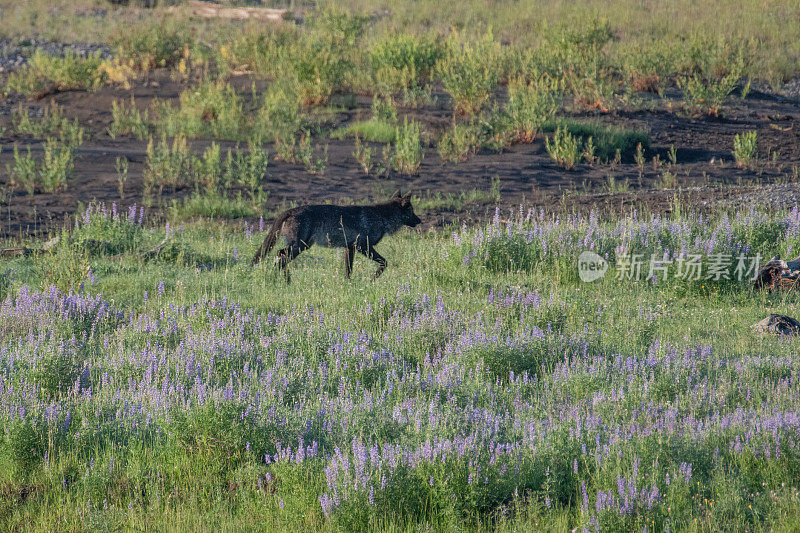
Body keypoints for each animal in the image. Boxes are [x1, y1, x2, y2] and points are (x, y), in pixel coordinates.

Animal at [253, 190, 422, 280]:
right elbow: (384, 263)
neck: (381, 217)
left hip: (302, 246)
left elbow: (348, 270)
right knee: (280, 255)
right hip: (299, 247)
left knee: (279, 256)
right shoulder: (362, 246)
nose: (420, 220)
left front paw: (348, 284)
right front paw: (372, 279)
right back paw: (285, 280)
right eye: (412, 211)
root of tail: (289, 210)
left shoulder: (350, 248)